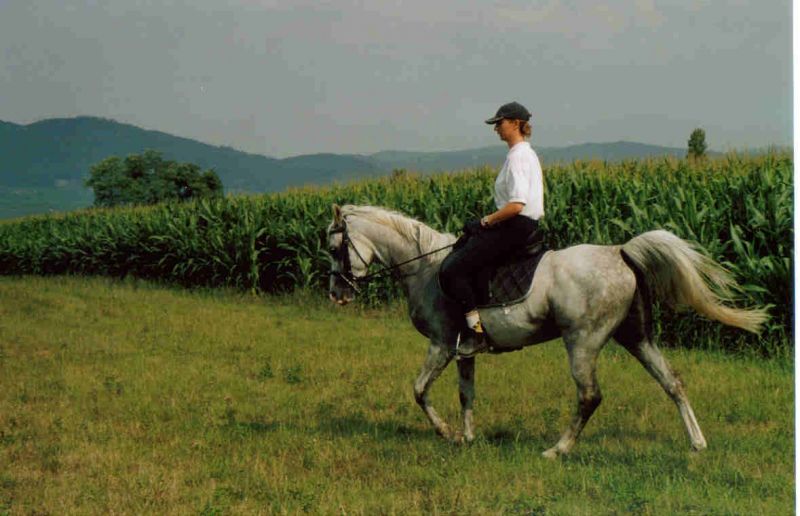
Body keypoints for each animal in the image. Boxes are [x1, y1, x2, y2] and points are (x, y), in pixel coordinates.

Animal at [326, 204, 767, 458]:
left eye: (334, 249)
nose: (337, 295)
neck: (425, 267)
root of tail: (620, 252)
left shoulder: (441, 344)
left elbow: (419, 391)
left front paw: (448, 435)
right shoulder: (463, 350)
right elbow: (466, 394)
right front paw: (468, 438)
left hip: (583, 342)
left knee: (590, 396)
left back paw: (557, 450)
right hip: (636, 337)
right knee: (672, 382)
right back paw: (697, 444)